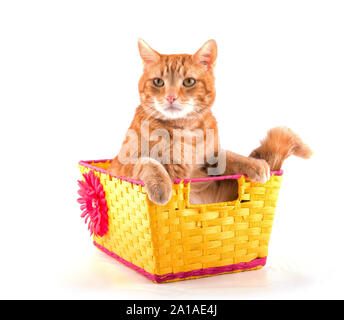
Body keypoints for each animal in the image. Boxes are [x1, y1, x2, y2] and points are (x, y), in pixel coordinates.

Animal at [109, 40, 312, 205]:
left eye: (189, 82)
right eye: (158, 82)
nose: (171, 97)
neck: (183, 129)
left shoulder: (209, 158)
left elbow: (229, 155)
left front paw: (255, 164)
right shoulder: (121, 165)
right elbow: (148, 162)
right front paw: (161, 186)